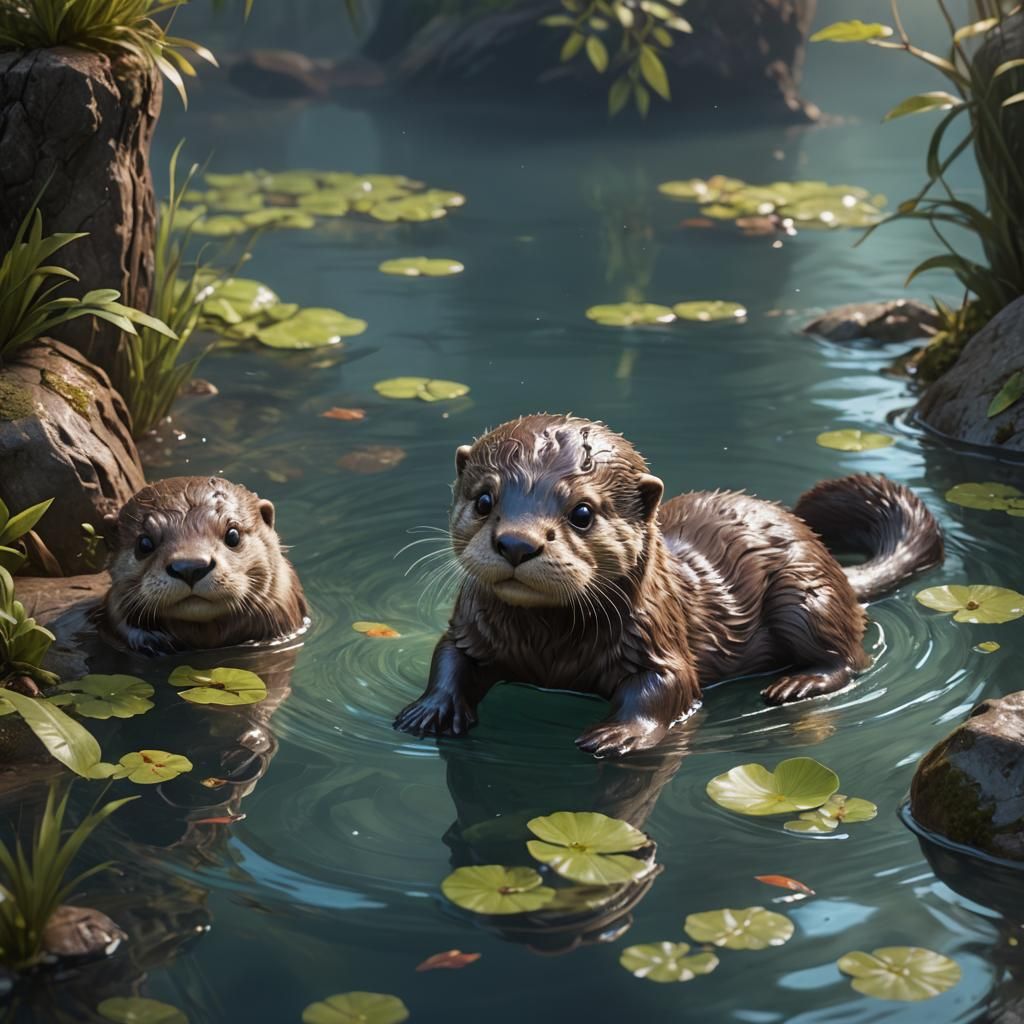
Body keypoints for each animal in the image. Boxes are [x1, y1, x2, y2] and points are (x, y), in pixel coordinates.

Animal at [394, 414, 944, 758]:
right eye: (484, 500)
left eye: (582, 512)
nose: (516, 543)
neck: (550, 654)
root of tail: (828, 558)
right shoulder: (470, 627)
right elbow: (448, 656)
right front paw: (431, 708)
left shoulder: (657, 635)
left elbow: (669, 687)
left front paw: (619, 734)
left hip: (804, 594)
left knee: (848, 657)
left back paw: (797, 683)